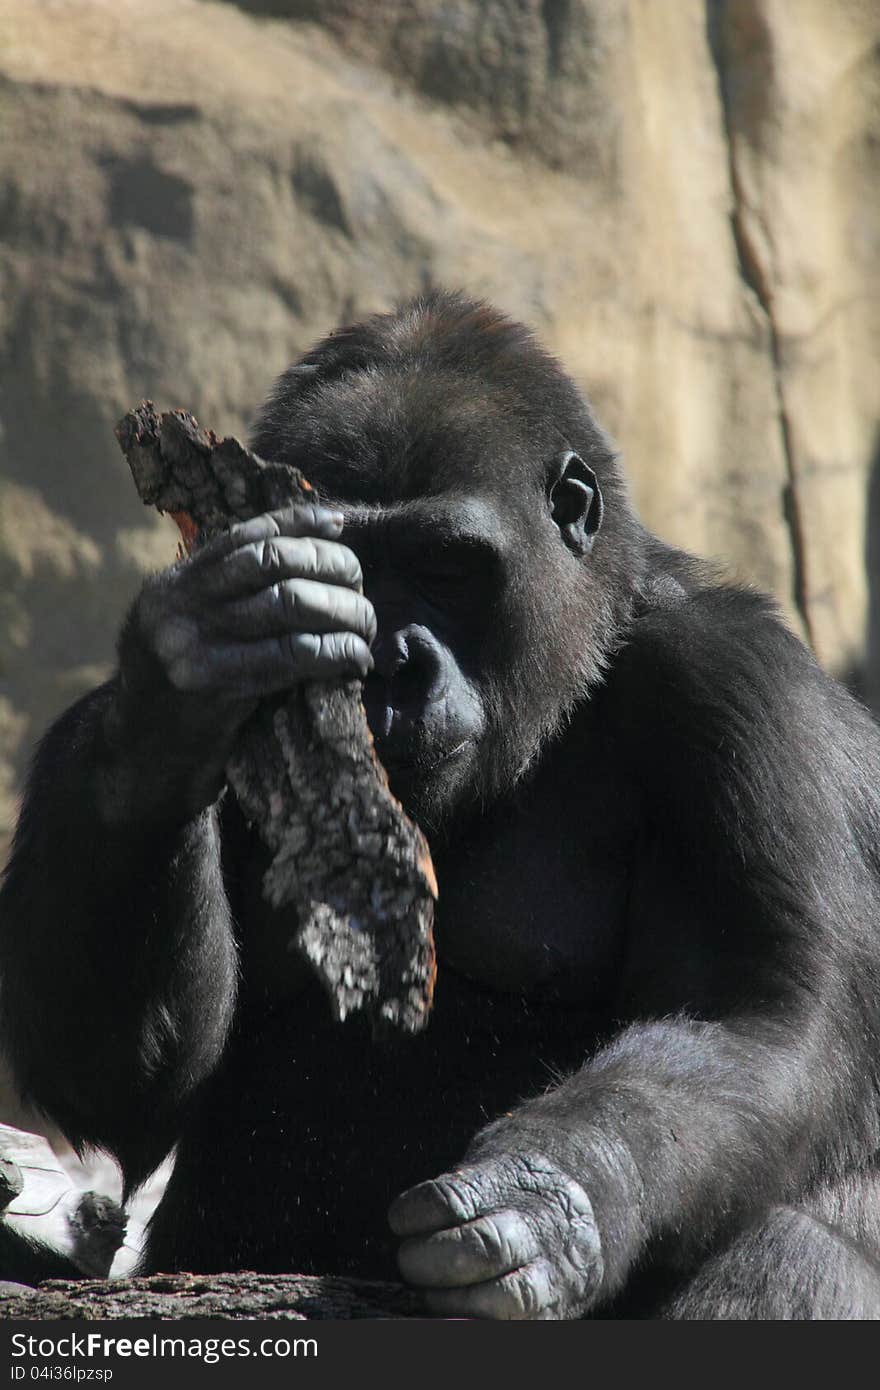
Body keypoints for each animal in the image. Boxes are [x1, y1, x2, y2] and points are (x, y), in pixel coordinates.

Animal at [1, 290, 878, 1312]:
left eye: (448, 566)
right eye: (350, 567)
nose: (391, 663)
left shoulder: (740, 690)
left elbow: (754, 1014)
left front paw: (547, 1203)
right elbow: (125, 1089)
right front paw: (191, 674)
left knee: (790, 1245)